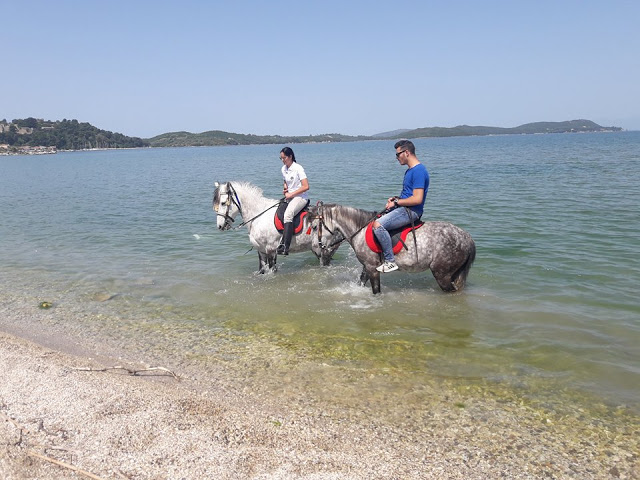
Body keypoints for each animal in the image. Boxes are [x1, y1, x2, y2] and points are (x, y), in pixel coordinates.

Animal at [212, 181, 340, 274]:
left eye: (223, 203)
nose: (220, 226)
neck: (259, 215)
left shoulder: (271, 250)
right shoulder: (261, 250)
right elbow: (262, 270)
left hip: (324, 249)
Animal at [310, 202, 476, 292]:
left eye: (314, 227)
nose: (317, 248)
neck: (360, 229)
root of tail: (467, 238)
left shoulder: (372, 268)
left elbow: (376, 290)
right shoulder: (367, 266)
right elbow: (361, 283)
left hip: (442, 274)